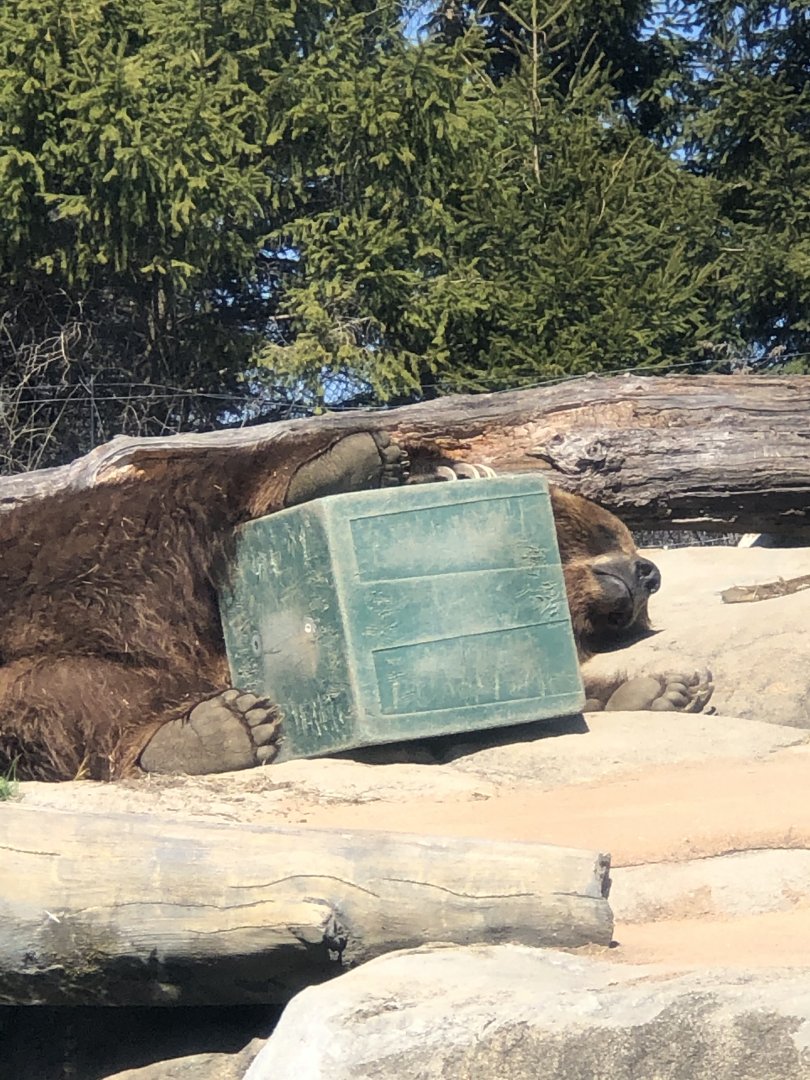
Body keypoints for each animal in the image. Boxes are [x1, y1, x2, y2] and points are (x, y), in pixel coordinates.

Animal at [0, 430, 711, 782]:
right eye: (611, 532)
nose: (648, 573)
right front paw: (426, 469)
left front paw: (667, 687)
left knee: (68, 690)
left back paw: (210, 731)